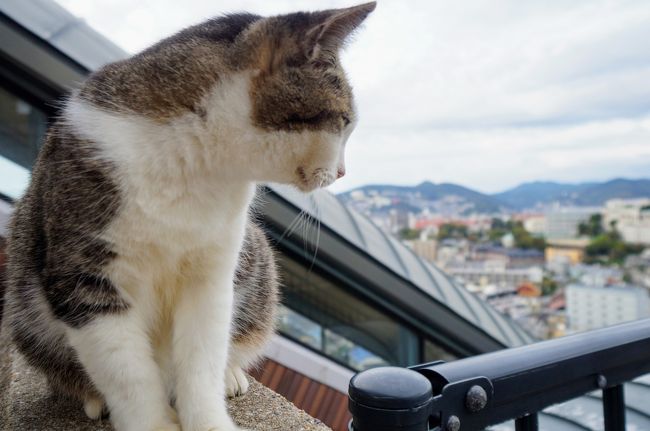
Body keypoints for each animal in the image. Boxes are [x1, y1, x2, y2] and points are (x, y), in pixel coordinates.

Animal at [2, 2, 374, 431]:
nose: (343, 172)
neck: (196, 164)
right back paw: (93, 397)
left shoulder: (213, 273)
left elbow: (202, 360)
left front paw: (210, 418)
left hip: (256, 262)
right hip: (23, 304)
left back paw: (230, 374)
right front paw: (152, 420)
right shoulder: (85, 276)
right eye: (344, 122)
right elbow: (128, 374)